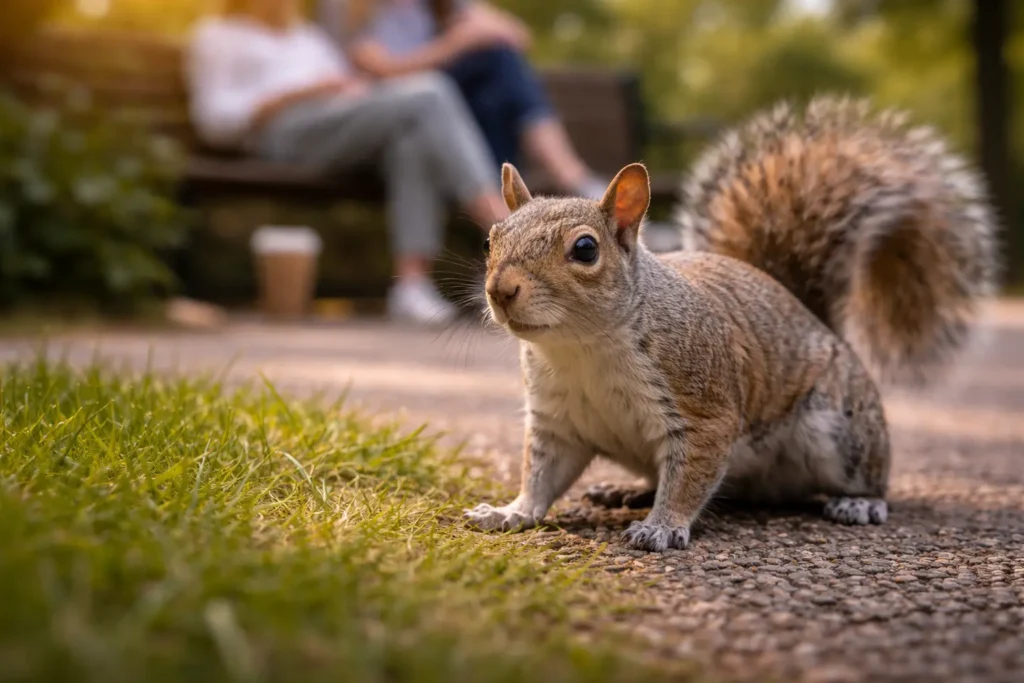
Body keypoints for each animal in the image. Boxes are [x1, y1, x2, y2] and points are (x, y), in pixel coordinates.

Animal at [463, 95, 999, 552]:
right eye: (490, 239)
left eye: (585, 249)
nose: (500, 290)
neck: (582, 348)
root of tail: (816, 320)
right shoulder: (557, 421)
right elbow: (540, 475)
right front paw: (511, 512)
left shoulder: (703, 406)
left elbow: (688, 477)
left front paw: (662, 527)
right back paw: (624, 490)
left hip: (841, 429)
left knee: (871, 473)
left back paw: (860, 502)